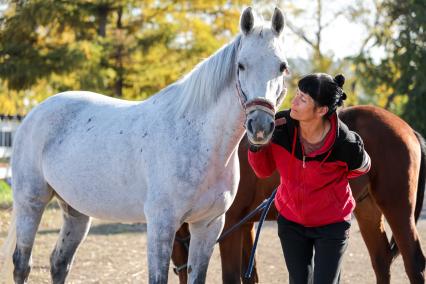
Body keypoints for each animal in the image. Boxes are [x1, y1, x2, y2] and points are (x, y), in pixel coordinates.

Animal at [0, 7, 290, 284]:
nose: (260, 126)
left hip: (76, 212)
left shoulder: (208, 226)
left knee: (59, 263)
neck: (199, 139)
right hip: (31, 203)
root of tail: (34, 114)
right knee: (21, 264)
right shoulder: (162, 225)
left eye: (282, 67)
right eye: (241, 65)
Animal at [171, 106, 424, 284]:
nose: (179, 271)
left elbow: (232, 278)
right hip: (367, 209)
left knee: (413, 263)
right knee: (381, 260)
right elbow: (250, 276)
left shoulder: (231, 225)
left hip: (397, 208)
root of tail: (407, 128)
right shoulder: (246, 225)